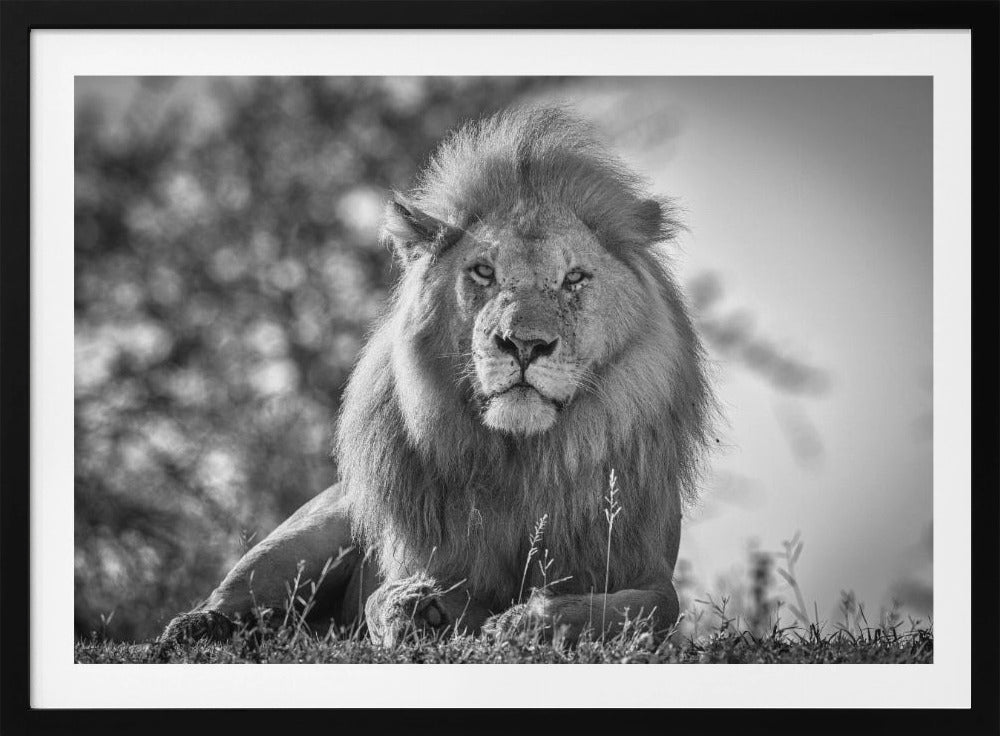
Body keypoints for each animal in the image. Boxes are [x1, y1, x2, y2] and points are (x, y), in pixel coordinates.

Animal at [160, 107, 711, 648]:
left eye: (573, 278)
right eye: (484, 272)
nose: (524, 344)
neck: (524, 461)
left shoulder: (647, 570)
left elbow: (640, 610)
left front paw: (526, 622)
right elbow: (382, 598)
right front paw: (417, 608)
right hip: (313, 530)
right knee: (239, 595)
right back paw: (197, 627)